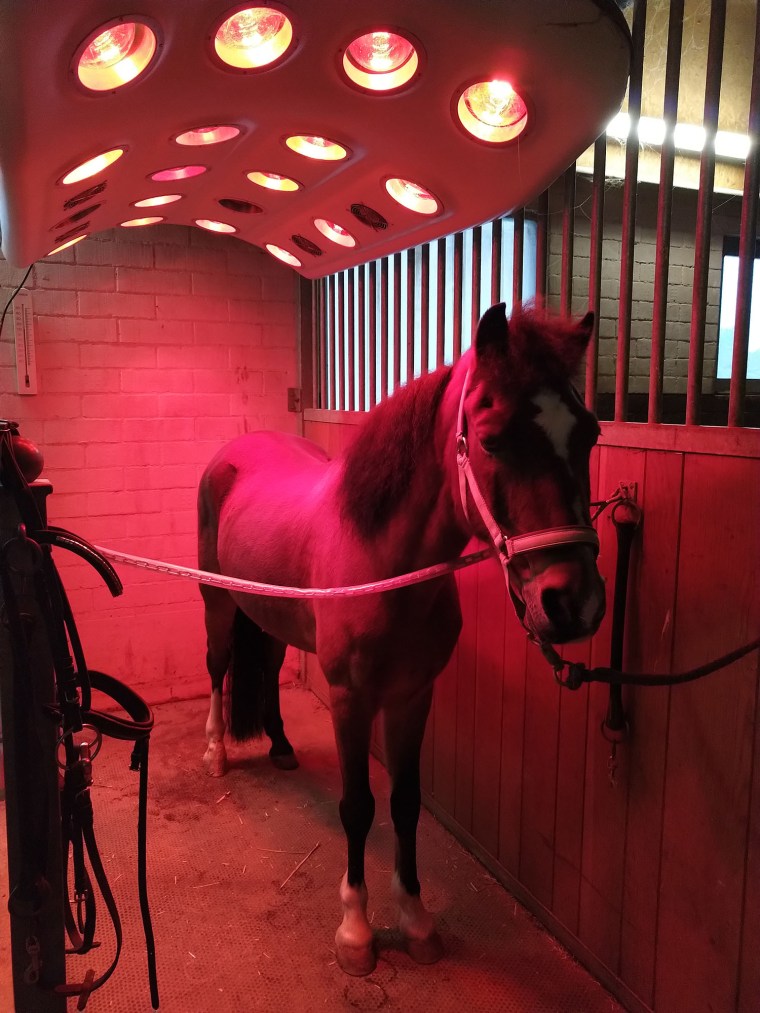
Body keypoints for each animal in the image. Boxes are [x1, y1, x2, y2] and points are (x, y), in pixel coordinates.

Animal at [196, 302, 606, 976]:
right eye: (492, 439)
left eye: (589, 434)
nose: (574, 603)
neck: (384, 562)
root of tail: (234, 452)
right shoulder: (350, 699)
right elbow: (358, 806)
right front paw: (357, 932)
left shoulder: (413, 696)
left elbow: (407, 802)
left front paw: (415, 920)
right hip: (218, 604)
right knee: (216, 665)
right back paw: (216, 754)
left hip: (270, 615)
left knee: (270, 666)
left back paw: (280, 746)